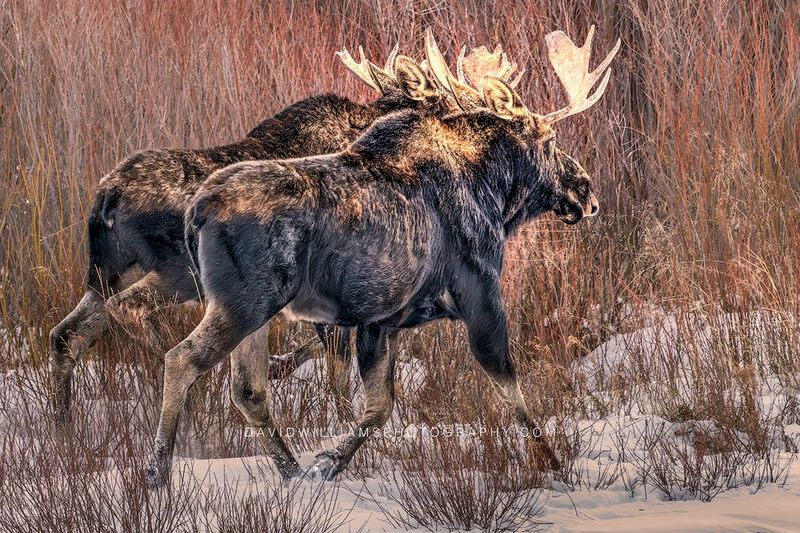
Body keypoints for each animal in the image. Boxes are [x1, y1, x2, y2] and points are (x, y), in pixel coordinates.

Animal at [48, 46, 450, 428]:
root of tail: (105, 197)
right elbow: (338, 373)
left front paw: (279, 368)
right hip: (178, 273)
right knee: (133, 315)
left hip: (109, 275)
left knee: (67, 334)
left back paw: (64, 427)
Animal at [144, 27, 620, 487]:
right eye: (551, 140)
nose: (587, 193)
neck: (495, 192)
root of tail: (197, 213)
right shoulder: (479, 290)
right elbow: (510, 389)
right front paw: (555, 466)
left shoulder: (380, 321)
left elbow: (377, 408)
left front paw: (326, 463)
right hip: (245, 303)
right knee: (181, 358)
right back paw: (158, 473)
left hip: (253, 313)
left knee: (248, 389)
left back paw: (291, 470)